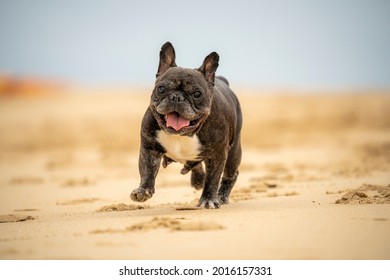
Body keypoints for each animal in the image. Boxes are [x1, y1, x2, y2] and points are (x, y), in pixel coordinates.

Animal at [130, 41, 241, 208]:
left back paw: (221, 196)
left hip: (233, 153)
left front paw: (208, 199)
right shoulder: (149, 147)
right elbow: (147, 169)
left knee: (230, 175)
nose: (176, 97)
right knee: (196, 165)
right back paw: (198, 180)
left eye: (197, 94)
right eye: (161, 88)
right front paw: (143, 190)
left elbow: (213, 179)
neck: (182, 135)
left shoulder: (218, 155)